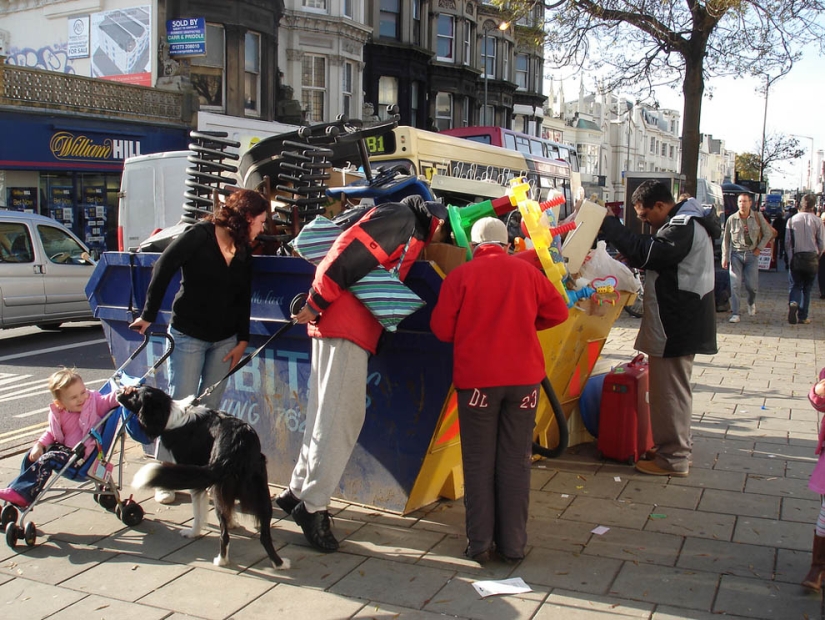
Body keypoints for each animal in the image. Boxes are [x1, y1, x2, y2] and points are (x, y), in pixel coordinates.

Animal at [117, 386, 286, 568]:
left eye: (133, 394)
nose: (118, 392)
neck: (169, 413)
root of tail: (237, 445)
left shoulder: (196, 478)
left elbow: (198, 513)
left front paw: (193, 532)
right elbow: (230, 509)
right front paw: (233, 523)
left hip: (220, 489)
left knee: (224, 534)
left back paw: (221, 560)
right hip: (261, 491)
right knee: (265, 535)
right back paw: (279, 564)